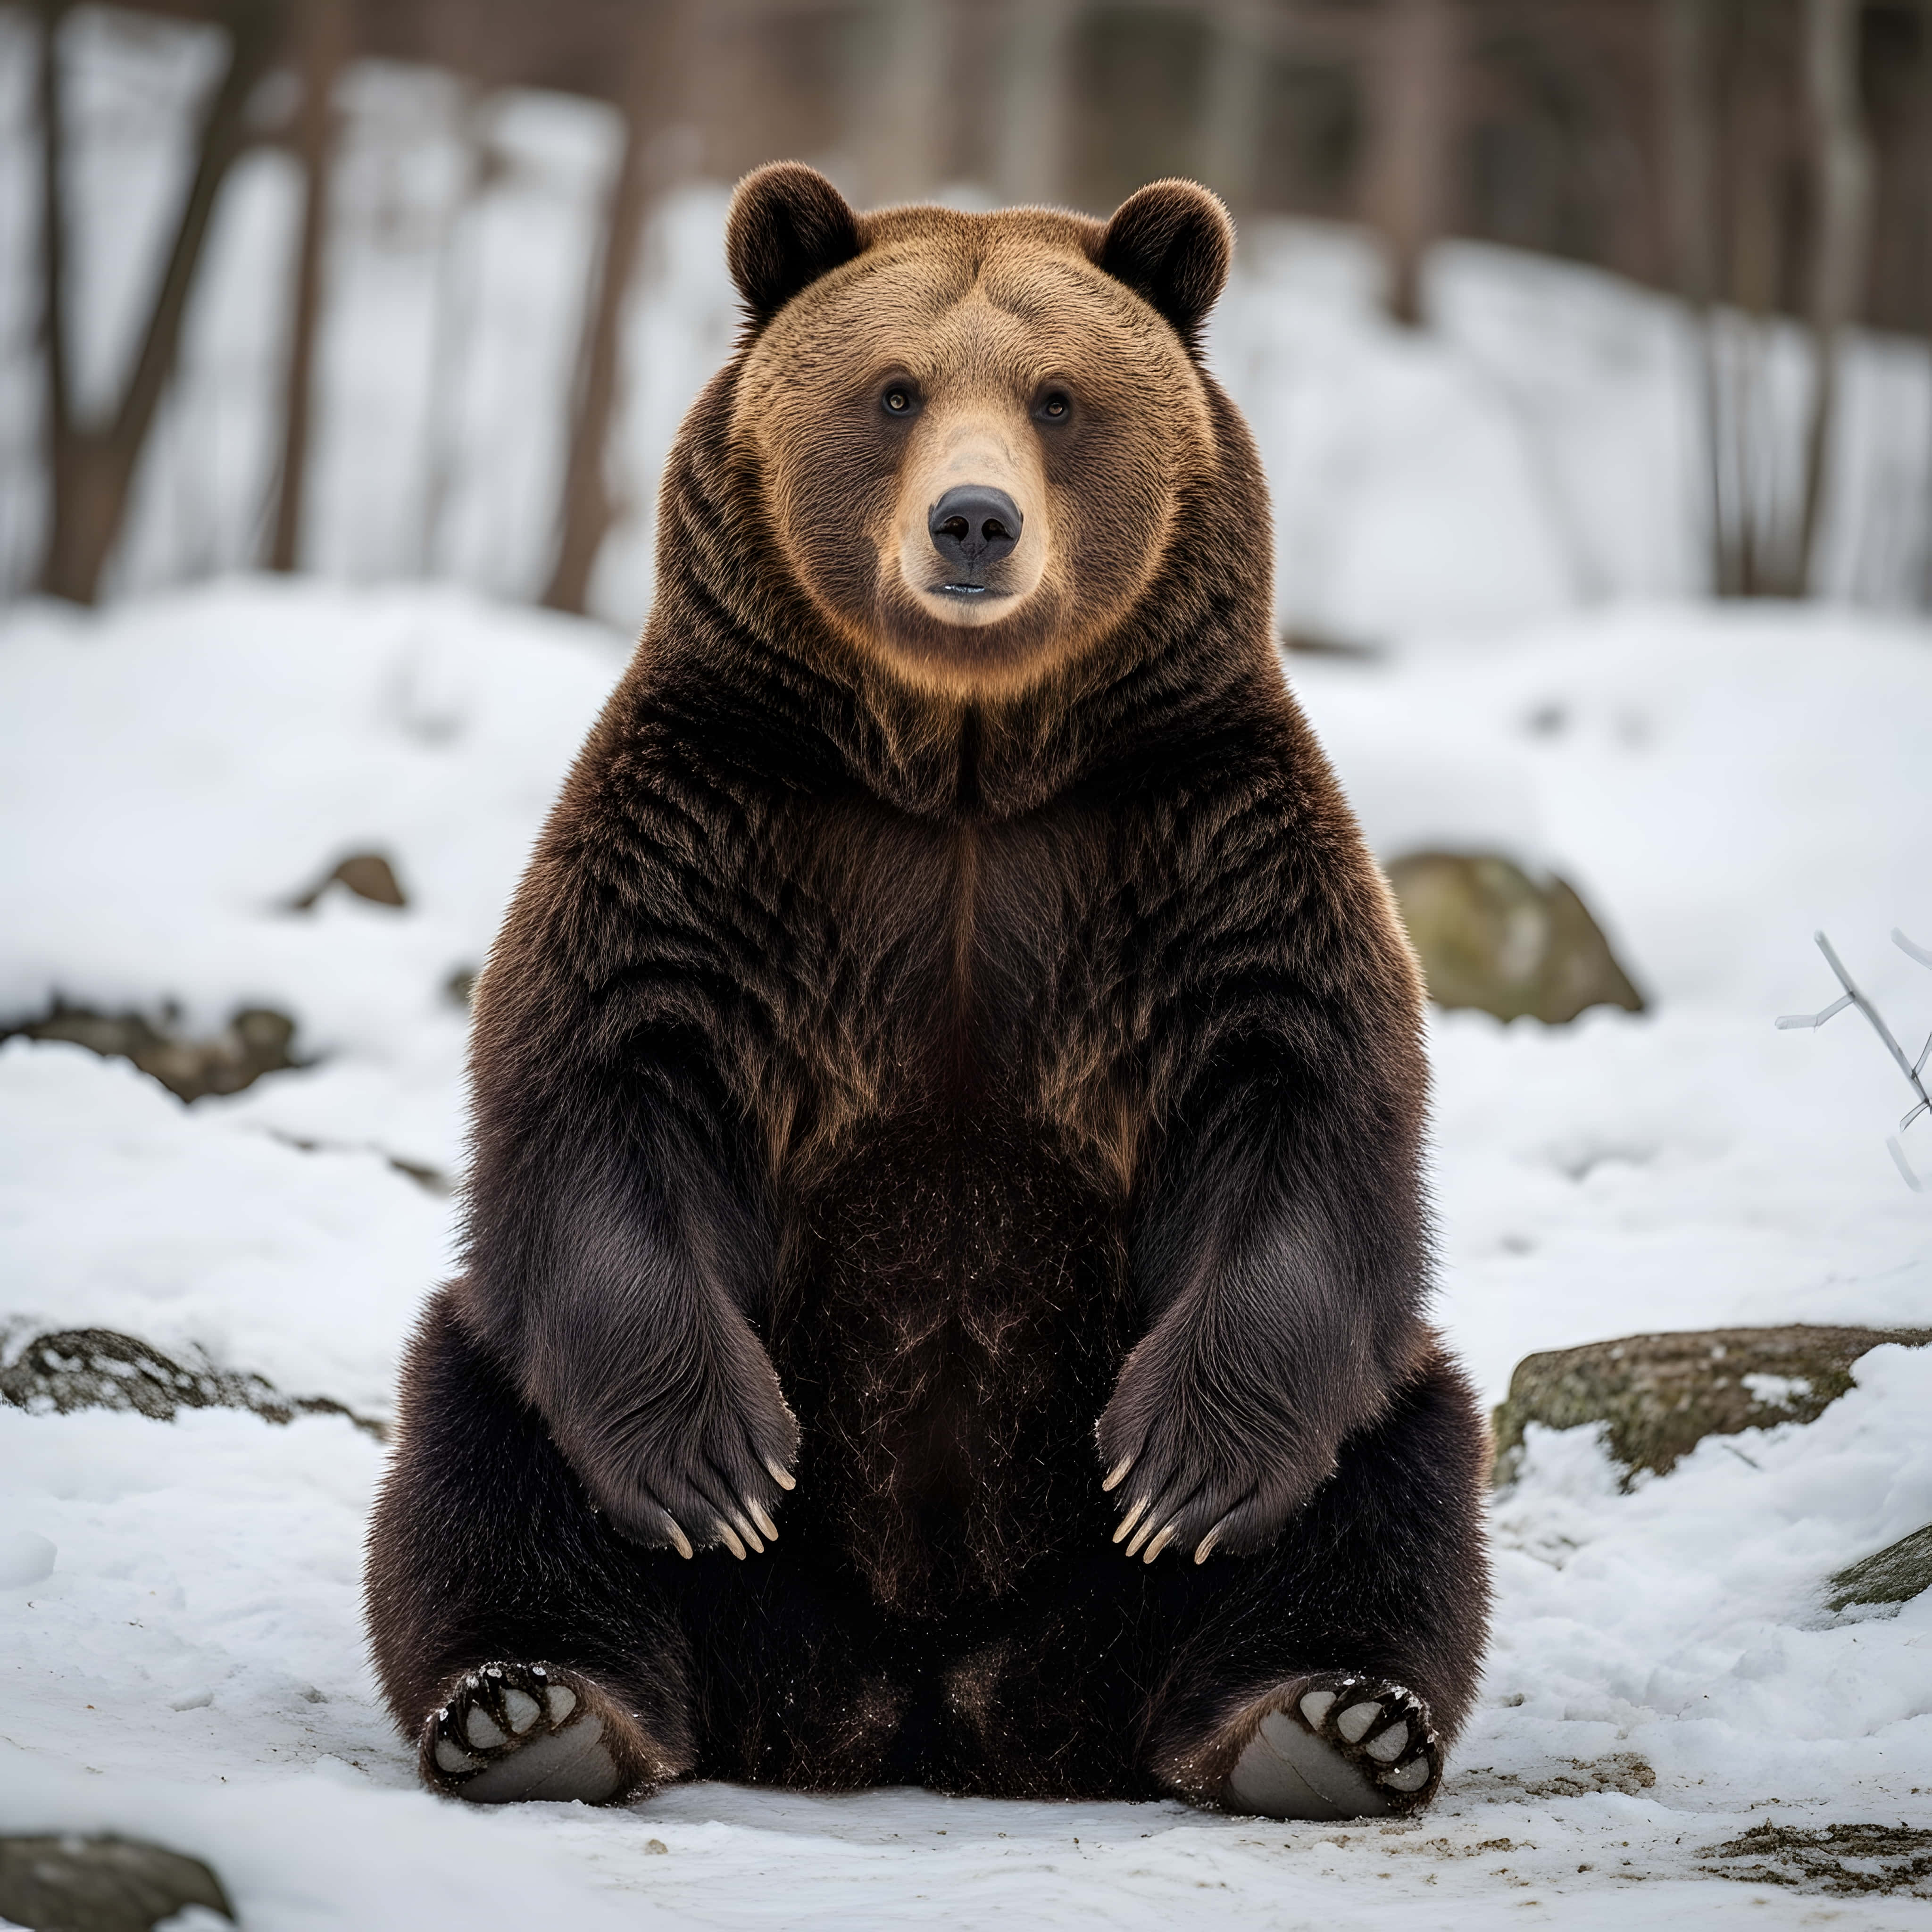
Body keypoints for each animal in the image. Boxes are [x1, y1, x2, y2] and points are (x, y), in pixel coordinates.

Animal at [364, 163, 1491, 1821]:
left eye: (1060, 397)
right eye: (894, 391)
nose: (974, 521)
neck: (963, 757)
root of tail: (924, 1702)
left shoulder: (1197, 846)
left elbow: (1304, 1099)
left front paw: (1178, 1472)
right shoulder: (721, 833)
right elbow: (606, 1077)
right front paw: (720, 1463)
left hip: (1179, 1563)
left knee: (1399, 1467)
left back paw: (1327, 1721)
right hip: (644, 1504)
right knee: (477, 1440)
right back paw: (532, 1706)